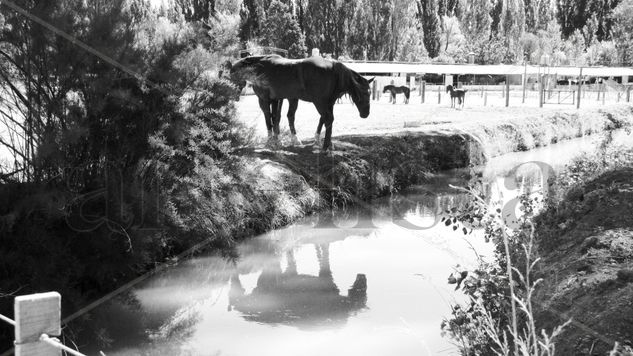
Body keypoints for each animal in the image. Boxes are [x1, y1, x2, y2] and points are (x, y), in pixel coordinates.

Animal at [231, 54, 372, 153]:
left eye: (368, 94)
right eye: (364, 94)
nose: (365, 114)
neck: (260, 67)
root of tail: (333, 65)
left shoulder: (264, 100)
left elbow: (269, 119)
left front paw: (271, 141)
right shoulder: (277, 99)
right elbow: (275, 118)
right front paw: (276, 140)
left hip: (319, 102)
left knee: (327, 118)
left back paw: (325, 146)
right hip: (324, 103)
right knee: (326, 119)